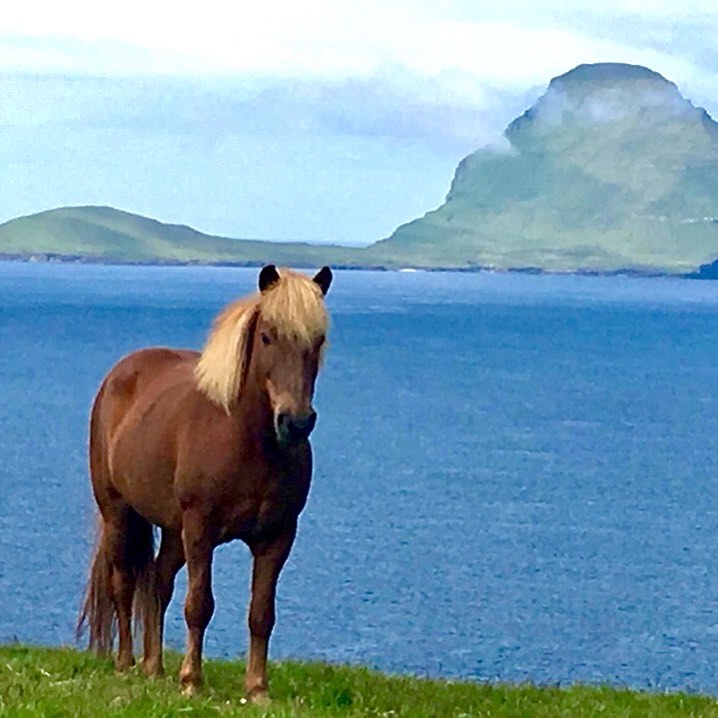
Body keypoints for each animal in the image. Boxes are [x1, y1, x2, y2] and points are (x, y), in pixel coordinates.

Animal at [77, 264, 336, 704]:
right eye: (268, 336)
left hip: (172, 531)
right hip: (120, 514)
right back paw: (127, 663)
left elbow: (261, 613)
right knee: (124, 583)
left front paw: (257, 688)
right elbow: (199, 604)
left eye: (317, 340)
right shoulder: (201, 530)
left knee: (157, 583)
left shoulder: (278, 537)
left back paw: (154, 667)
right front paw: (191, 681)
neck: (247, 441)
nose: (296, 422)